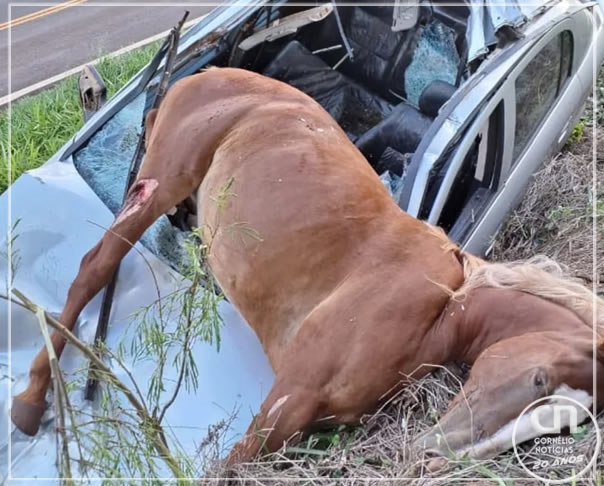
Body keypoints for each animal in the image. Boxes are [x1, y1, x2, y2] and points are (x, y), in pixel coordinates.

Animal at [10, 67, 604, 464]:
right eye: (538, 379)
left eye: (564, 427)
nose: (437, 456)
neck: (440, 306)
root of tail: (204, 73)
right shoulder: (288, 398)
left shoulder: (300, 420)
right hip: (162, 181)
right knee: (94, 267)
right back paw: (31, 401)